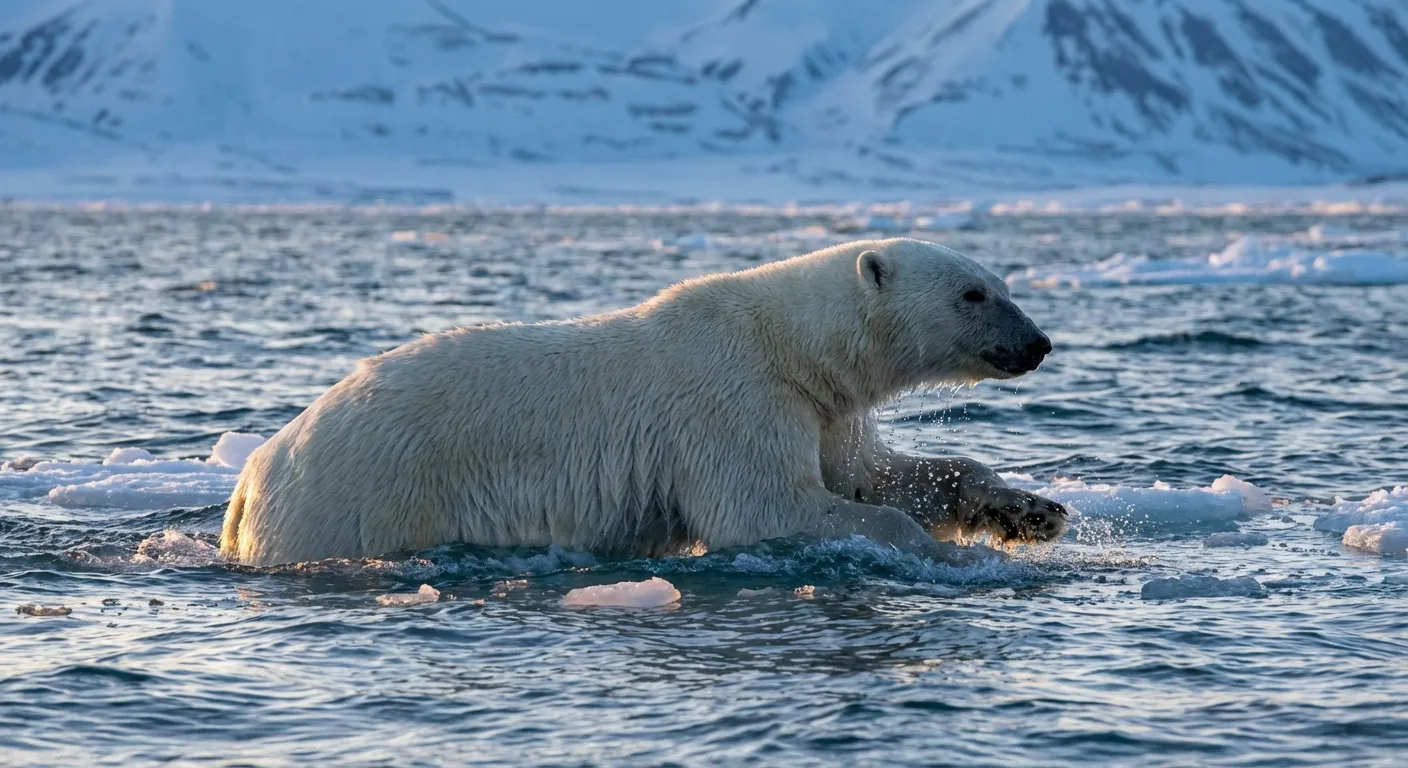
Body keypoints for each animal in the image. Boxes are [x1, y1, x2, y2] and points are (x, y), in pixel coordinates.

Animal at [220, 238, 1066, 567]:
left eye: (1003, 281)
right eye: (973, 293)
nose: (1036, 343)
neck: (790, 343)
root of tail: (254, 471)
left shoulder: (820, 410)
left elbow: (873, 476)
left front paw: (1031, 512)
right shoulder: (732, 401)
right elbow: (764, 507)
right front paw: (937, 553)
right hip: (358, 498)